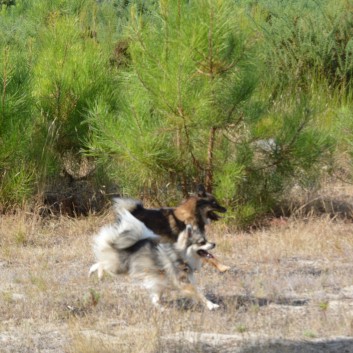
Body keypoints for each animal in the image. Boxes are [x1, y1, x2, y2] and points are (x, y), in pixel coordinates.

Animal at [89, 208, 219, 310]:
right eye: (202, 242)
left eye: (207, 240)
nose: (214, 244)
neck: (181, 256)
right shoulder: (181, 282)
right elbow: (199, 293)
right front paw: (211, 305)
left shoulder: (160, 282)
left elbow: (157, 298)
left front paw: (160, 307)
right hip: (118, 267)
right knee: (102, 263)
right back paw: (97, 273)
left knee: (100, 262)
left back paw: (92, 272)